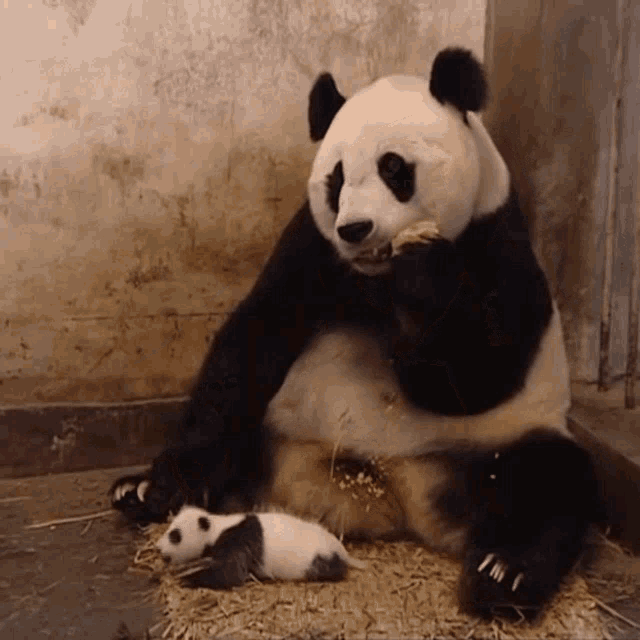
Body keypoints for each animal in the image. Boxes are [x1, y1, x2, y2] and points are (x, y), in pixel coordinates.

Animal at [156, 505, 366, 589]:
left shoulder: (238, 541)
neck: (216, 528)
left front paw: (189, 579)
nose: (158, 548)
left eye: (175, 536)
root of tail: (344, 553)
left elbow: (232, 572)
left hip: (320, 560)